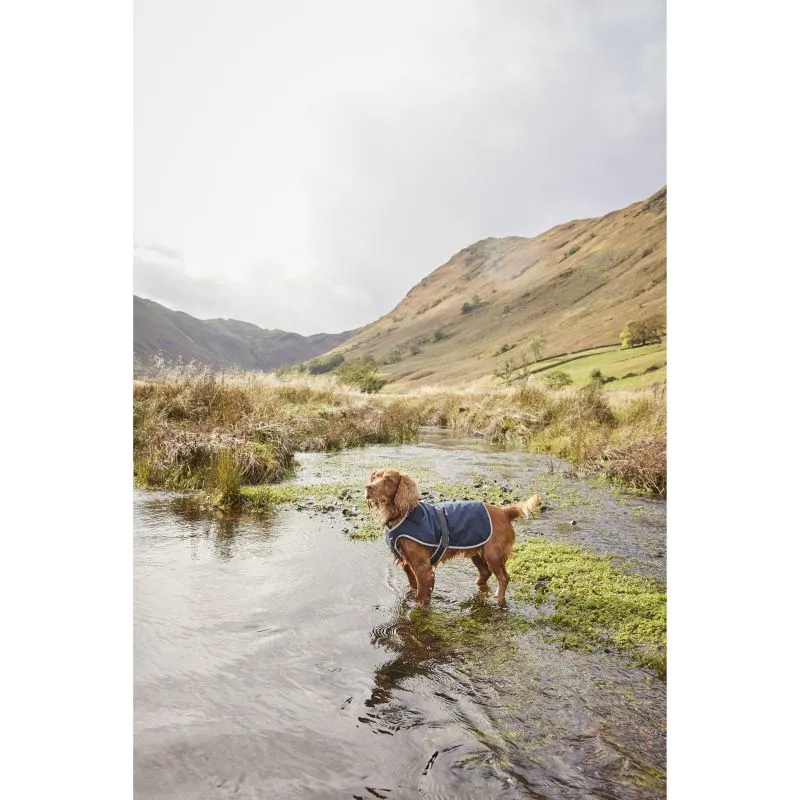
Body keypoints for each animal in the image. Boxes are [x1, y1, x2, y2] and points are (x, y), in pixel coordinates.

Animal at [366, 468, 540, 608]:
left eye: (388, 480)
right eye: (374, 477)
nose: (368, 487)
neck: (401, 516)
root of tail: (504, 511)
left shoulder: (423, 567)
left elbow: (422, 593)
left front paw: (418, 607)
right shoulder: (407, 563)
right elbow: (413, 584)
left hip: (493, 555)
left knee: (503, 577)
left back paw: (498, 599)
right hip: (476, 551)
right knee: (485, 573)